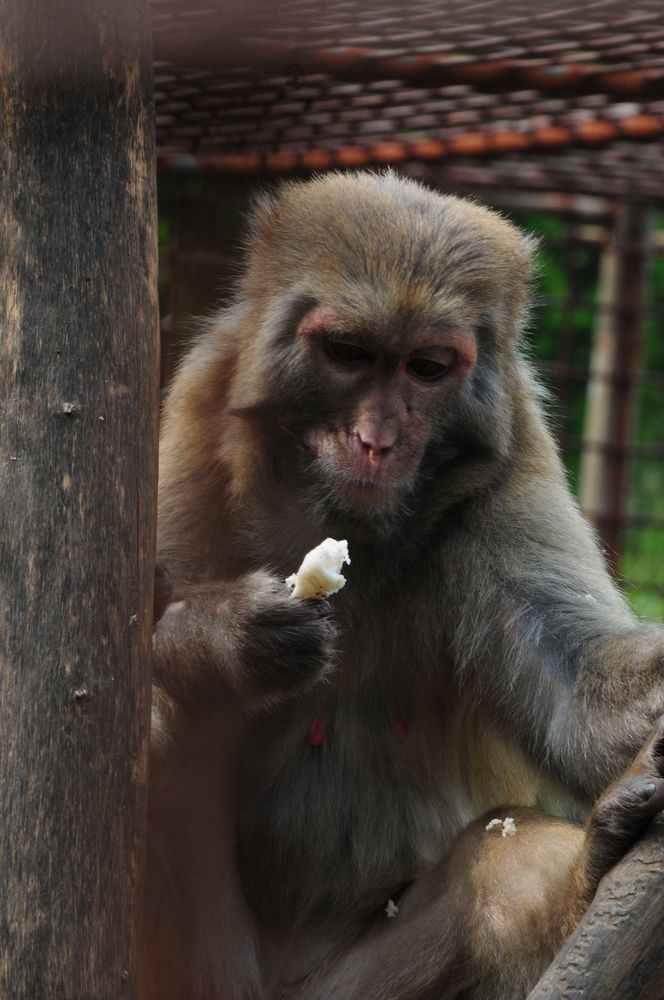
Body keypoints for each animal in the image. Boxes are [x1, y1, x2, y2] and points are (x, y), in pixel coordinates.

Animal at [143, 174, 664, 1000]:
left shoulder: (508, 472)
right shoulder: (195, 424)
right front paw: (223, 639)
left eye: (428, 367)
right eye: (351, 354)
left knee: (502, 863)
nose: (377, 441)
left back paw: (589, 873)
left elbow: (578, 701)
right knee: (165, 729)